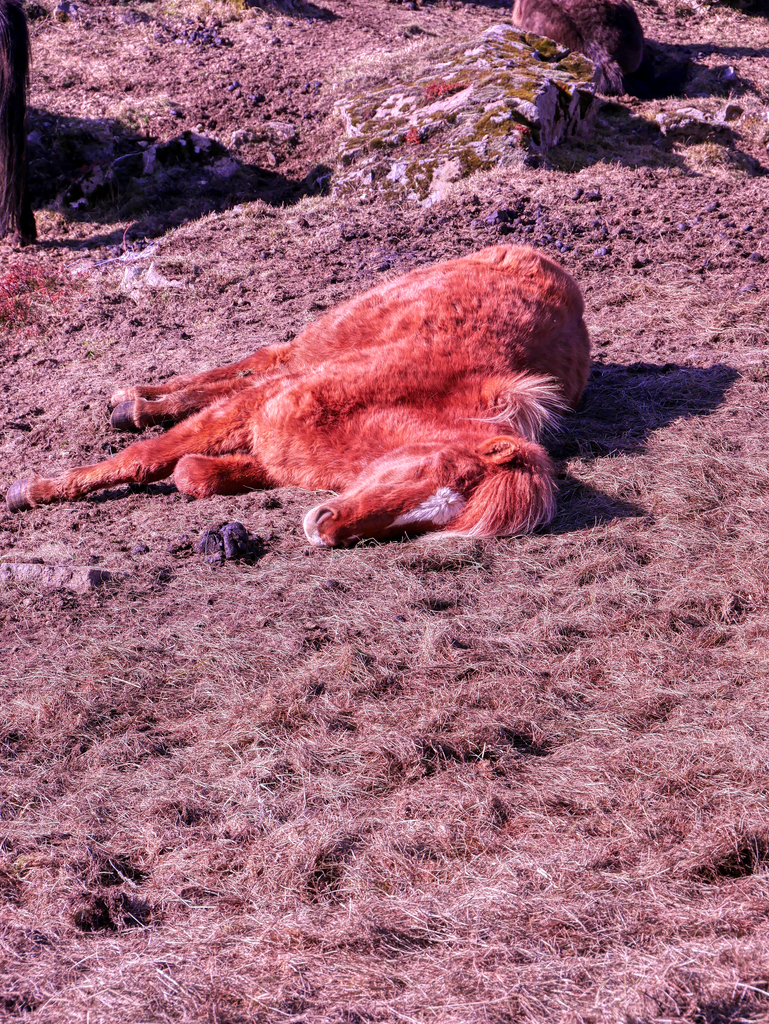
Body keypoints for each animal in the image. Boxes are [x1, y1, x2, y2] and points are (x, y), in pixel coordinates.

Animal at [6, 246, 591, 546]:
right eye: (427, 472)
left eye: (433, 522)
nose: (323, 530)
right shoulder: (260, 407)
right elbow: (145, 457)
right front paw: (33, 491)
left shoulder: (276, 446)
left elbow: (193, 472)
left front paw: (198, 471)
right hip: (322, 338)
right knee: (258, 361)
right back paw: (134, 403)